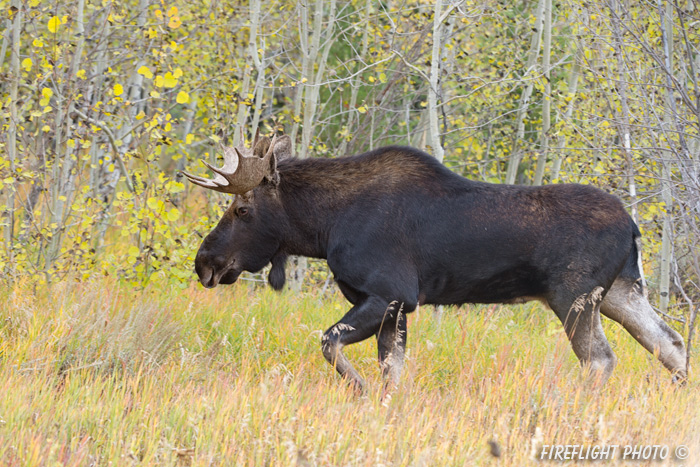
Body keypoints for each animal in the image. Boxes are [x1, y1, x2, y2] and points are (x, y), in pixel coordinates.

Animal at [183, 128, 688, 392]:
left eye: (241, 209)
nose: (204, 261)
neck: (324, 227)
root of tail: (633, 226)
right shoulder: (399, 307)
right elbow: (392, 370)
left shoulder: (389, 294)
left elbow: (331, 343)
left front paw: (361, 390)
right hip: (620, 291)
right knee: (671, 342)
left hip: (574, 297)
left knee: (602, 359)